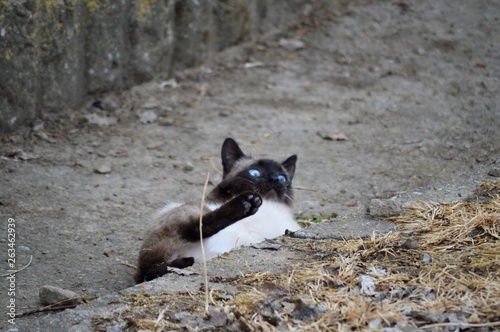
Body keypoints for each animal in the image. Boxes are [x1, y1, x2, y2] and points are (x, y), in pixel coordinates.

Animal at [134, 137, 300, 282]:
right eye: (255, 173)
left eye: (282, 177)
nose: (274, 180)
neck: (269, 201)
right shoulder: (213, 198)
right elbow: (229, 184)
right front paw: (247, 192)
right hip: (189, 209)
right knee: (194, 229)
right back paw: (246, 204)